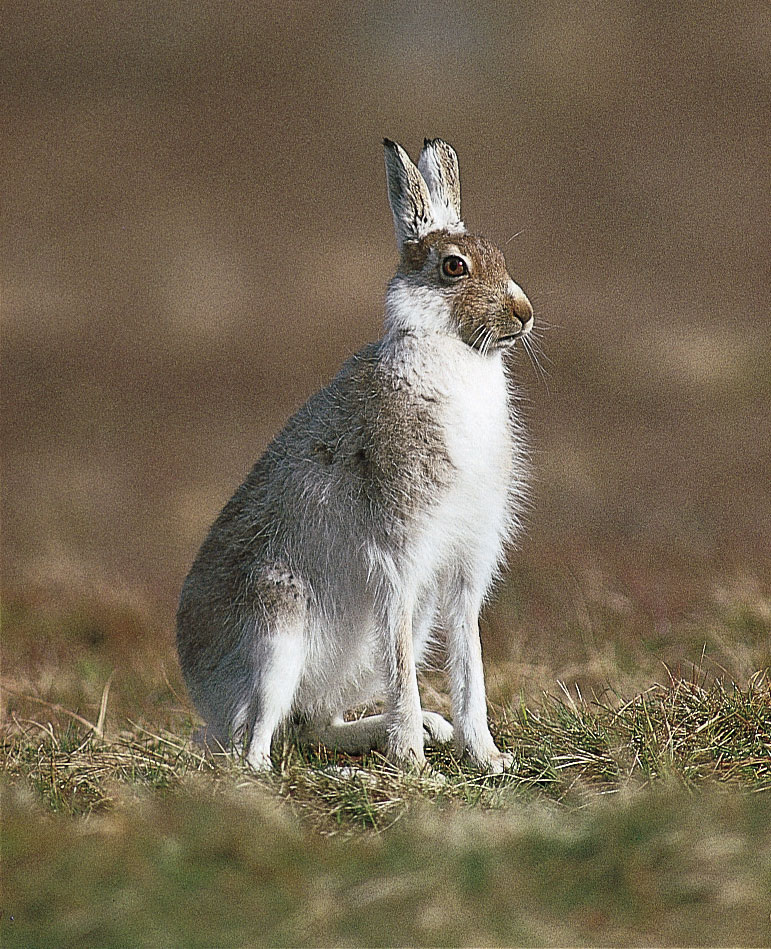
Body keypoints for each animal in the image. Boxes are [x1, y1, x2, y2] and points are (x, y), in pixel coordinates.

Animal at [176, 137, 533, 773]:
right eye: (454, 267)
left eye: (497, 254)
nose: (524, 313)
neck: (452, 356)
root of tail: (204, 694)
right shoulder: (397, 554)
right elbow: (404, 664)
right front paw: (414, 763)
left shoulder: (466, 564)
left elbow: (470, 660)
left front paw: (487, 757)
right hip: (277, 635)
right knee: (254, 752)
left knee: (310, 723)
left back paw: (426, 730)